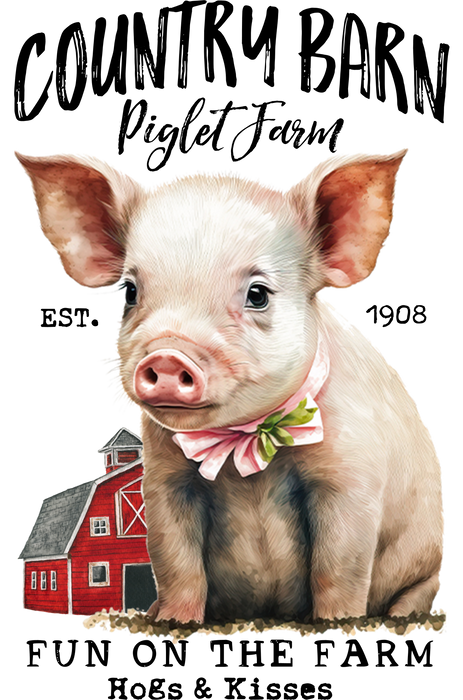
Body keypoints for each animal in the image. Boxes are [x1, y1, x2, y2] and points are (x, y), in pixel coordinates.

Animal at [13, 146, 445, 625]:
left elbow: (338, 568)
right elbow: (176, 562)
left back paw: (400, 616)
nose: (167, 355)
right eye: (129, 291)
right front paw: (172, 621)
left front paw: (336, 623)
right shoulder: (164, 484)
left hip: (426, 564)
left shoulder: (352, 477)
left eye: (258, 294)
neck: (245, 446)